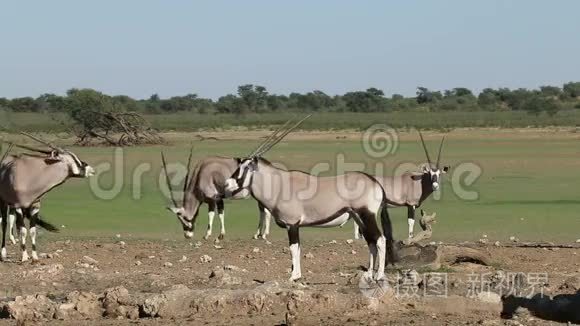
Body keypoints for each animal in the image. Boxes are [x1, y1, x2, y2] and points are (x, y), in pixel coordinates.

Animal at [0, 133, 94, 262]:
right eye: (74, 159)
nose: (90, 169)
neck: (31, 175)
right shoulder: (17, 205)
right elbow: (23, 231)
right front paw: (24, 257)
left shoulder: (35, 206)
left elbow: (32, 231)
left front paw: (34, 256)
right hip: (4, 202)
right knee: (4, 223)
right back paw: (3, 253)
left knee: (17, 225)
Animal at [224, 116, 396, 282]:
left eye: (245, 167)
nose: (227, 184)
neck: (279, 184)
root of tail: (375, 183)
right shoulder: (295, 226)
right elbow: (298, 248)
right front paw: (297, 275)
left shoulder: (292, 225)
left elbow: (293, 248)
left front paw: (293, 276)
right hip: (359, 219)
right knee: (371, 242)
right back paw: (369, 274)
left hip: (367, 216)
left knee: (380, 239)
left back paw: (379, 276)